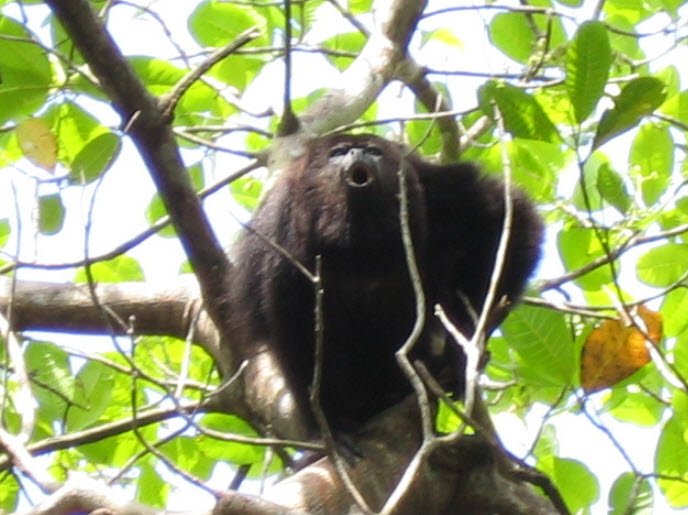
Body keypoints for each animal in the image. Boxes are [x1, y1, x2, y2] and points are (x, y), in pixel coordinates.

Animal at [227, 133, 543, 435]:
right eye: (338, 152)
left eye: (373, 151)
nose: (358, 152)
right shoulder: (282, 231)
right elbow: (292, 322)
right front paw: (333, 420)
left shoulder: (442, 191)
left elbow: (512, 216)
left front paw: (464, 338)